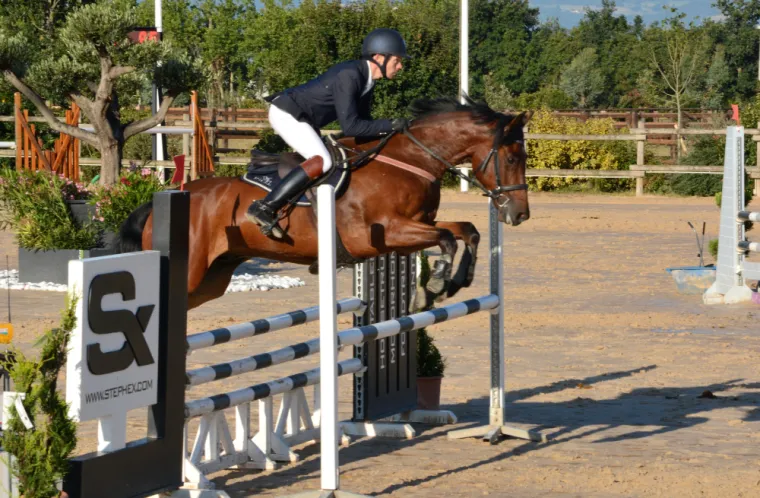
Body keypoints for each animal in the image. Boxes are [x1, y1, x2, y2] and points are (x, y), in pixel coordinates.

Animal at [120, 96, 532, 310]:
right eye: (513, 158)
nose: (520, 214)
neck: (409, 161)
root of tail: (157, 204)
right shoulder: (380, 235)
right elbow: (447, 239)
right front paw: (434, 286)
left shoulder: (418, 226)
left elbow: (468, 231)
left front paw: (455, 283)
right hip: (191, 274)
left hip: (212, 278)